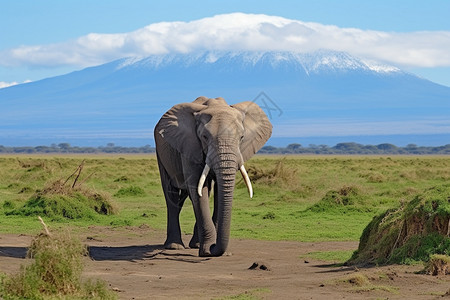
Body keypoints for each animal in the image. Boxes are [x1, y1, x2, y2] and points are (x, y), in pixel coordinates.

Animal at [155, 97, 272, 256]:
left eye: (241, 137)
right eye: (204, 137)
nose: (213, 247)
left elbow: (217, 193)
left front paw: (208, 248)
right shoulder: (190, 145)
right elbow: (197, 188)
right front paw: (207, 250)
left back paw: (194, 244)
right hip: (161, 154)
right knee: (171, 193)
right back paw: (174, 246)